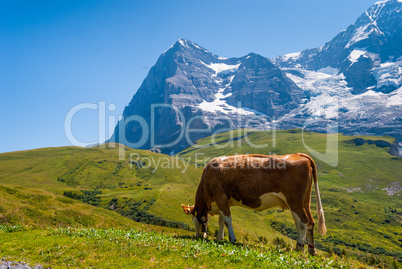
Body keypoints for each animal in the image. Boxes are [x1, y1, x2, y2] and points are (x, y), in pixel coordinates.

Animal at [182, 153, 326, 253]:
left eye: (196, 221)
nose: (198, 236)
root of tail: (299, 155)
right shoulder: (224, 202)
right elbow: (221, 221)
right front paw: (219, 238)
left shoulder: (220, 197)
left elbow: (227, 220)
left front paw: (232, 239)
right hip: (305, 201)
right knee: (311, 222)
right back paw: (312, 250)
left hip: (294, 200)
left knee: (302, 222)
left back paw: (299, 248)